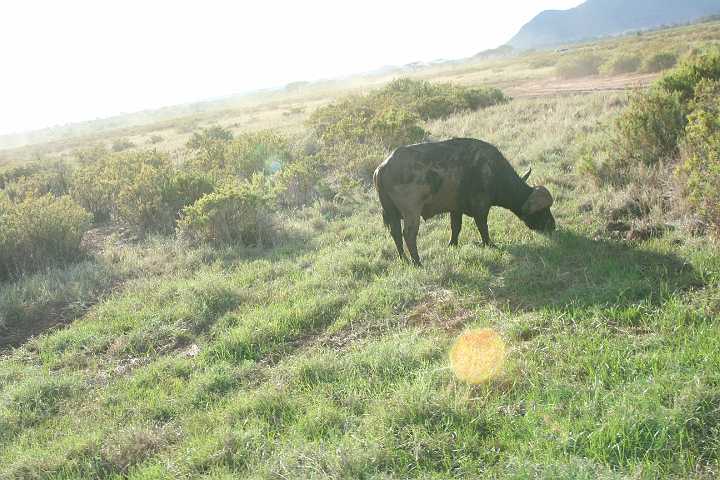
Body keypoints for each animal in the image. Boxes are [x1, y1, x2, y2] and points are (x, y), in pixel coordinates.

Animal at [373, 138, 555, 266]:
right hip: (412, 212)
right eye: (541, 211)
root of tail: (382, 168)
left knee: (396, 233)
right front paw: (490, 244)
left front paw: (452, 244)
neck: (492, 172)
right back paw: (418, 262)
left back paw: (404, 259)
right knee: (409, 234)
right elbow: (483, 227)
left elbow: (456, 227)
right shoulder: (481, 208)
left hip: (392, 213)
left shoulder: (455, 209)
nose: (552, 226)